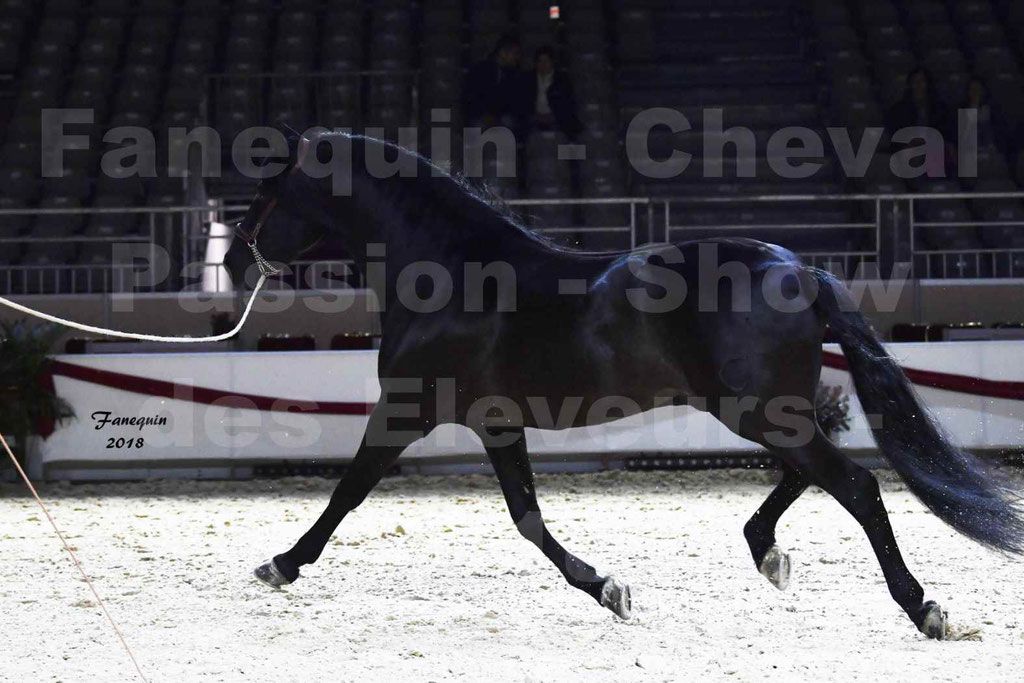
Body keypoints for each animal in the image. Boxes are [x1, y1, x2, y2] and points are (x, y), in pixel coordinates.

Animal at [226, 129, 1024, 643]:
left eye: (268, 191)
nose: (234, 261)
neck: (448, 273)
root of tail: (799, 269)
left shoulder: (405, 410)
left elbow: (346, 493)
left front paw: (280, 564)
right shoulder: (495, 422)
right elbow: (527, 517)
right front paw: (610, 589)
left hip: (758, 411)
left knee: (854, 483)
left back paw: (924, 610)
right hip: (766, 409)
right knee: (815, 466)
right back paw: (767, 553)